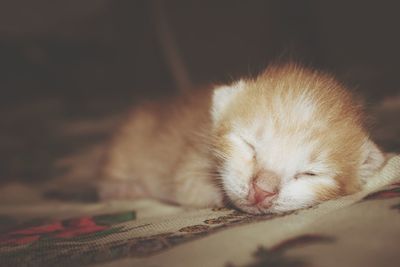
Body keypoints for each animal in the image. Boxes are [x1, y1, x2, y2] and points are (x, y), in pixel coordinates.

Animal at [97, 64, 384, 216]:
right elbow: (189, 189)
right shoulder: (187, 165)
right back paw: (122, 188)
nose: (262, 191)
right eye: (249, 145)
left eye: (310, 174)